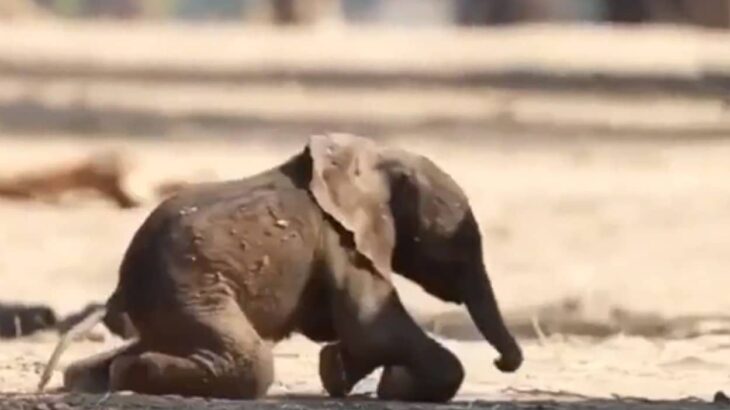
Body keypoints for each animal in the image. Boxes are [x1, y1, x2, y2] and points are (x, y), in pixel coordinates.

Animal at [39, 133, 520, 402]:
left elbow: (360, 333)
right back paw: (129, 376)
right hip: (189, 287)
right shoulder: (343, 239)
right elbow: (373, 328)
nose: (503, 362)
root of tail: (120, 287)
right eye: (459, 244)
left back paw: (96, 378)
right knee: (253, 363)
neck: (375, 160)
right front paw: (383, 385)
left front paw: (342, 373)